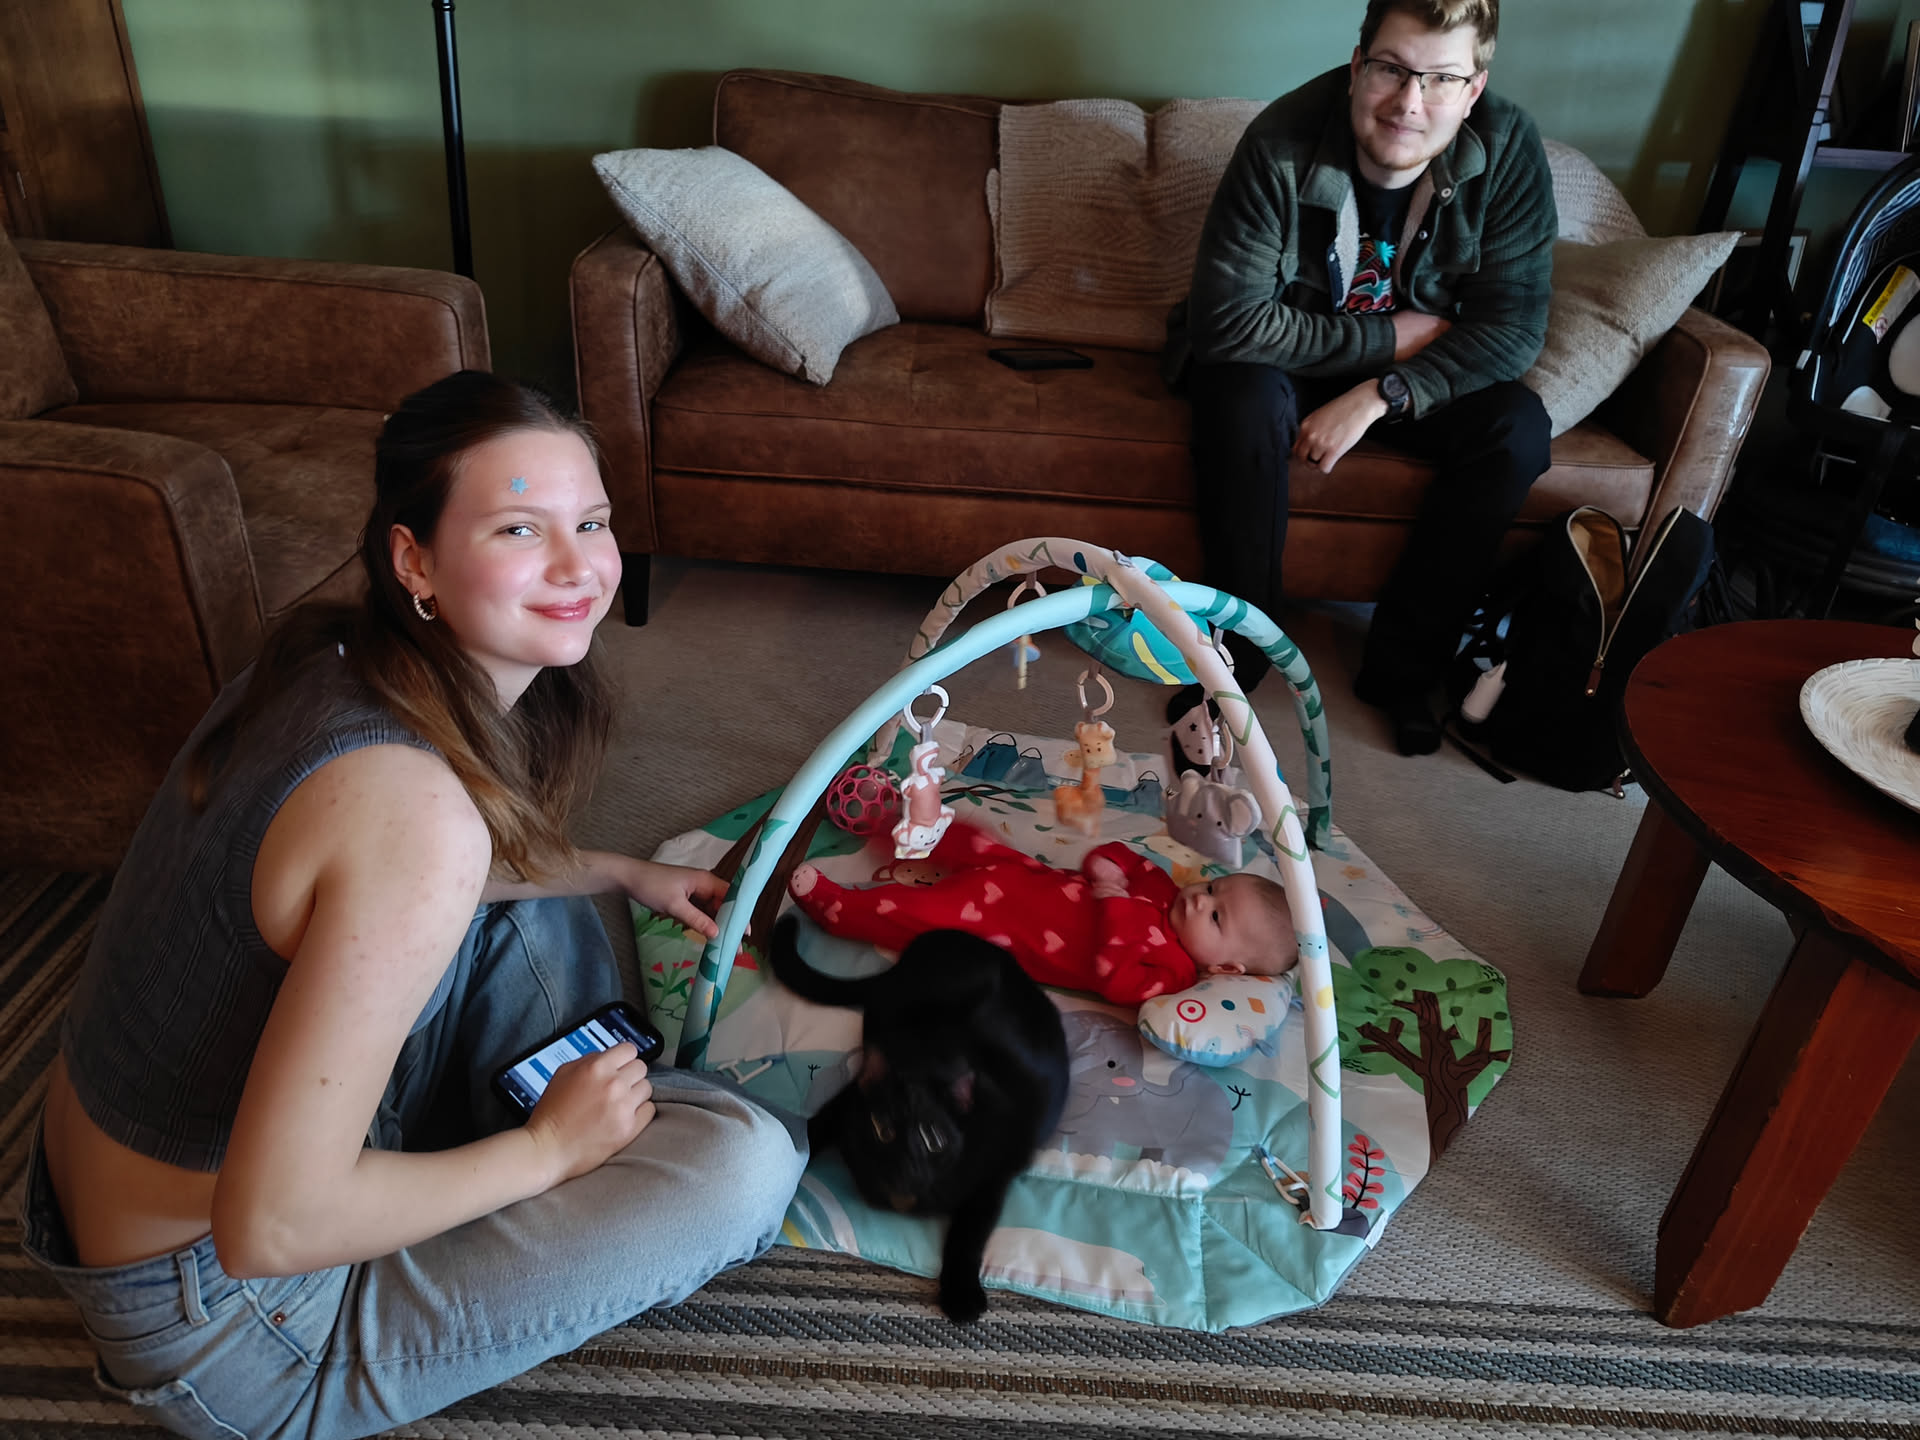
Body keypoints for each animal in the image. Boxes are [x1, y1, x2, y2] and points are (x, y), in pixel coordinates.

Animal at [767, 912, 1070, 1322]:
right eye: (881, 1129)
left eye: (934, 1140)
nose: (903, 1165)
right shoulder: (847, 1104)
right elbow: (813, 1130)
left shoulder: (994, 1175)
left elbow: (968, 1233)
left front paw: (961, 1294)